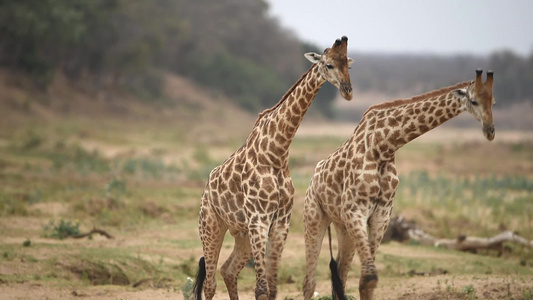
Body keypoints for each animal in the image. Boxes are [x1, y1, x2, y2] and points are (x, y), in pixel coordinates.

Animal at [191, 35, 354, 300]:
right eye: (328, 64)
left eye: (348, 64)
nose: (347, 91)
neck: (276, 153)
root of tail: (206, 190)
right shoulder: (259, 219)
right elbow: (261, 288)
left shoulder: (280, 223)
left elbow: (272, 287)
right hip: (211, 224)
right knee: (210, 282)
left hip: (242, 234)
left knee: (228, 270)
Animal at [304, 69, 494, 298]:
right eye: (474, 101)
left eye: (493, 101)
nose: (490, 131)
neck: (383, 147)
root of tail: (313, 179)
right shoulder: (355, 211)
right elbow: (370, 277)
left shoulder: (381, 216)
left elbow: (367, 281)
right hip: (314, 217)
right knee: (310, 282)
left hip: (343, 227)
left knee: (339, 275)